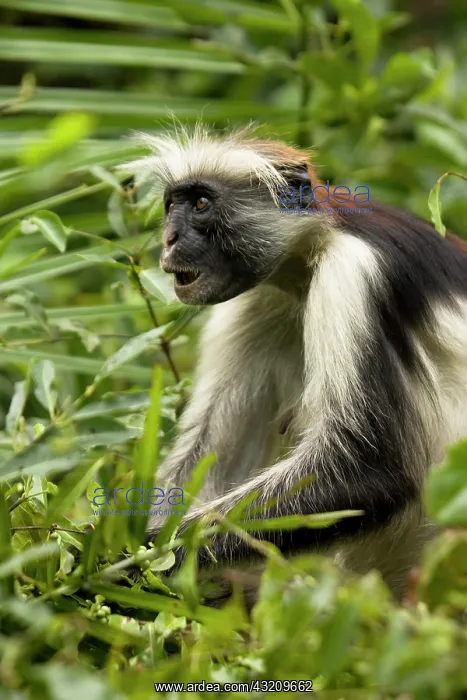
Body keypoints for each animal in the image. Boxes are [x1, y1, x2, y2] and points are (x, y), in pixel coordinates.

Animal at [119, 125, 467, 600]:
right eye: (172, 205)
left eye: (202, 204)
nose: (169, 239)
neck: (319, 245)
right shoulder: (260, 296)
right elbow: (213, 453)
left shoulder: (353, 273)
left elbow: (371, 472)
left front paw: (136, 559)